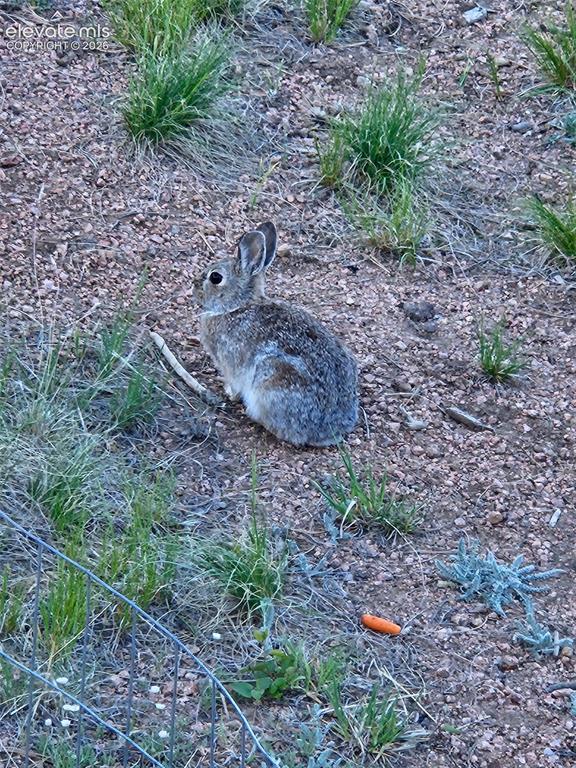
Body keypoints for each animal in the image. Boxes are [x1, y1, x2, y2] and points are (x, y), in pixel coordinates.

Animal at [196, 222, 358, 447]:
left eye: (215, 277)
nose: (194, 287)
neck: (237, 306)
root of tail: (328, 429)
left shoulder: (230, 364)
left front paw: (229, 393)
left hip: (272, 380)